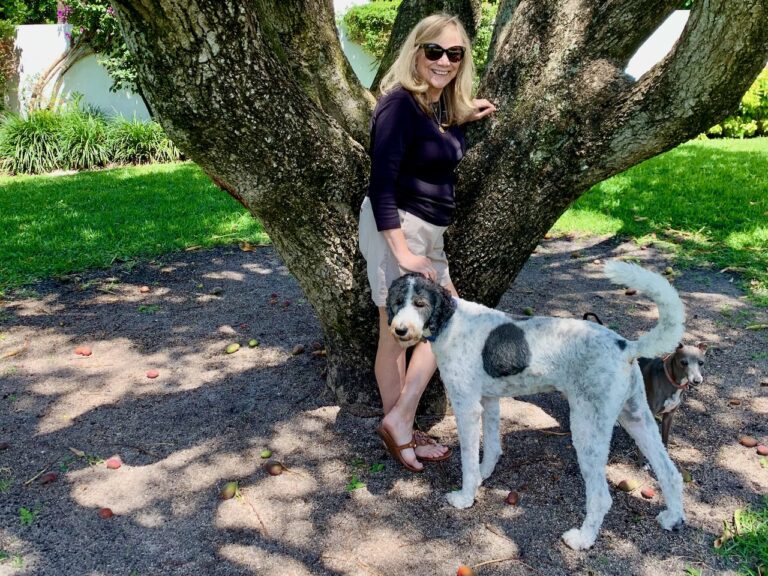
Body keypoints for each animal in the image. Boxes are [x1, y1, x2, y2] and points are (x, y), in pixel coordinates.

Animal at [388, 260, 688, 548]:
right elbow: (492, 447)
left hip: (587, 429)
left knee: (602, 496)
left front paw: (465, 496)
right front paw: (483, 477)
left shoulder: (466, 407)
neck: (450, 321)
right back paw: (672, 518)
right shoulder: (489, 401)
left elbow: (468, 460)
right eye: (397, 302)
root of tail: (625, 345)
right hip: (637, 418)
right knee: (670, 473)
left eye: (420, 304)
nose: (399, 330)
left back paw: (582, 540)